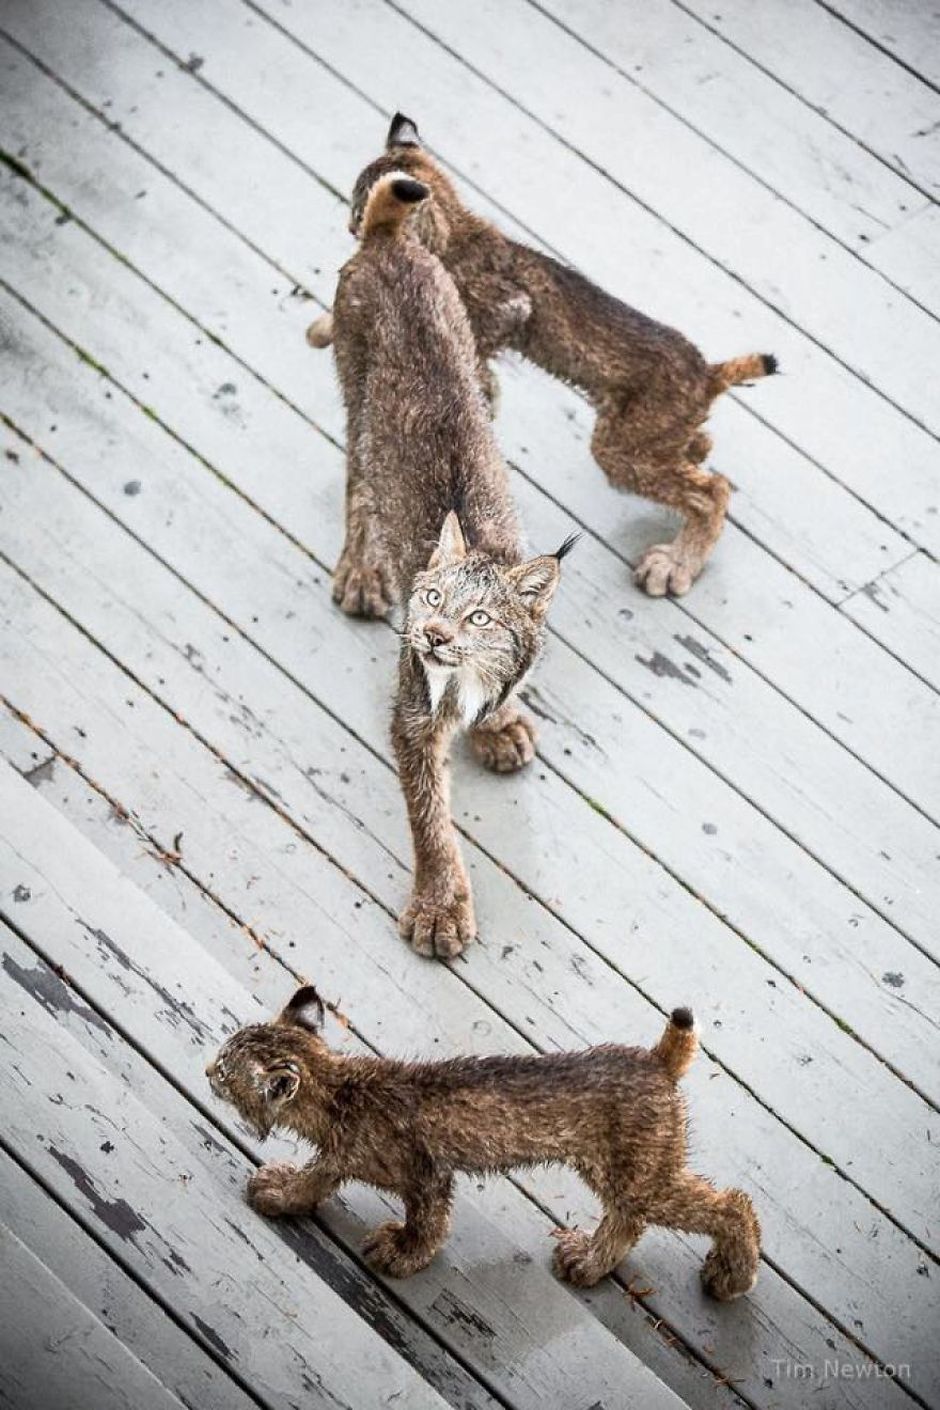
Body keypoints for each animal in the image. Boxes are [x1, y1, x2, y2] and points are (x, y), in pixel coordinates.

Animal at [310, 111, 777, 595]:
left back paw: (678, 562)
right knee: (699, 452)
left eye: (356, 211)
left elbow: (474, 344)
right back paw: (697, 454)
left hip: (620, 448)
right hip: (647, 437)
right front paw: (325, 326)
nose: (352, 229)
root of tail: (708, 372)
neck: (454, 221)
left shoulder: (506, 306)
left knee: (714, 490)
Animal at [331, 164, 574, 958]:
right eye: (433, 600)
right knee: (359, 480)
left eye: (480, 618)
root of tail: (390, 245)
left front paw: (500, 724)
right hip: (357, 396)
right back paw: (362, 572)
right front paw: (441, 909)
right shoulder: (413, 713)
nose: (432, 636)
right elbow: (429, 816)